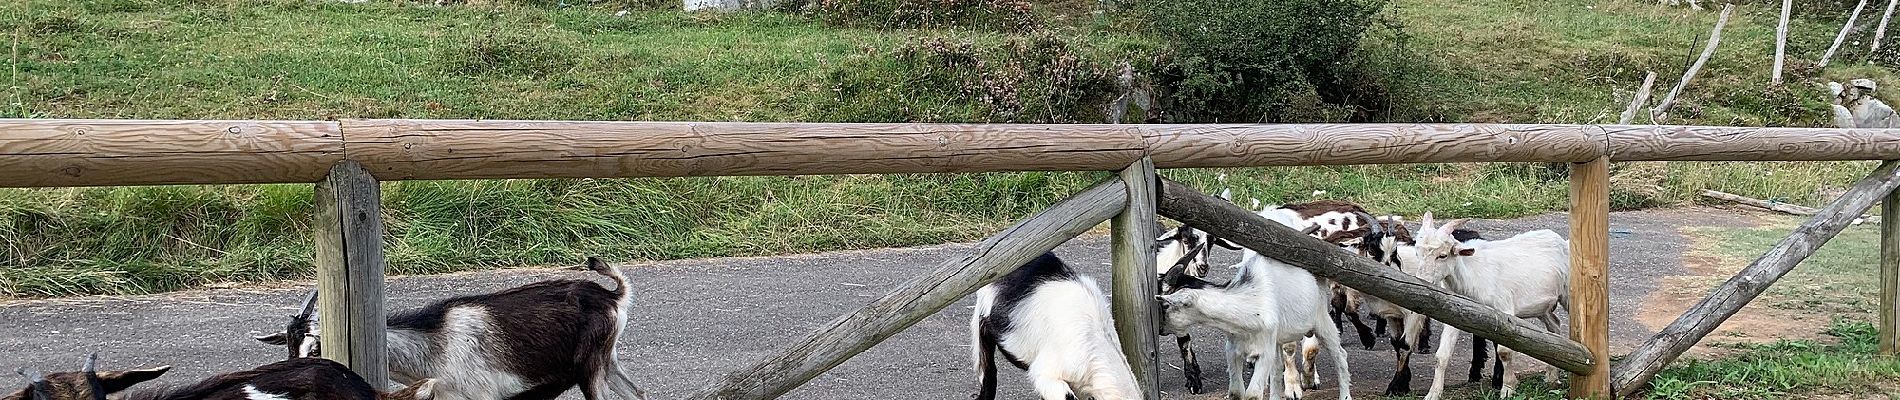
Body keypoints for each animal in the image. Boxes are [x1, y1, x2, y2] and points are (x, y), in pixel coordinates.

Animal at [250, 255, 646, 400]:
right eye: (289, 347)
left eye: (315, 346)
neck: (434, 345)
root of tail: (612, 296)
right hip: (608, 362)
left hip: (590, 368)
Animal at [1398, 212, 1573, 400]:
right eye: (1418, 254)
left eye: (1443, 255)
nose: (1422, 280)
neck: (1471, 275)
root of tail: (1561, 241)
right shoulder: (1454, 315)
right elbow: (1442, 355)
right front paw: (1433, 393)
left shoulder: (1505, 312)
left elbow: (1504, 352)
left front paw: (1508, 388)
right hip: (1541, 306)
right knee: (1554, 325)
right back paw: (1552, 377)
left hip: (1567, 294)